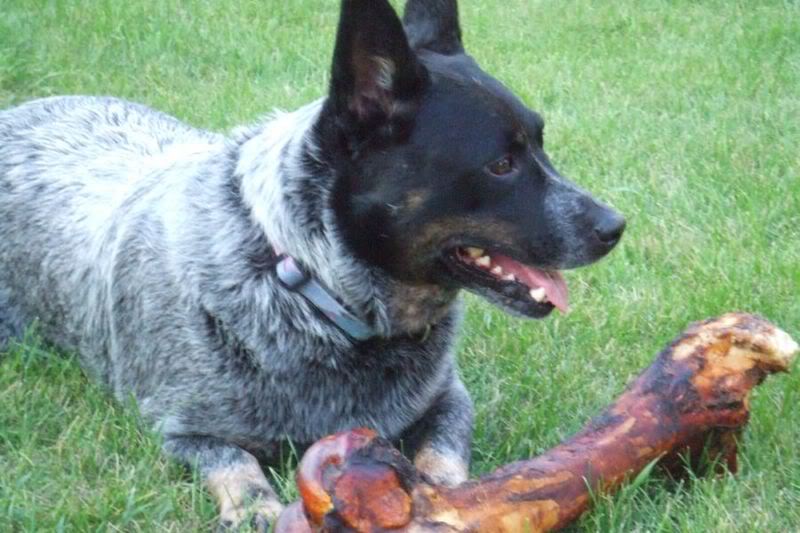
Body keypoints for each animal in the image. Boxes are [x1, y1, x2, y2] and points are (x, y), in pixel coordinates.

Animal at [0, 0, 624, 524]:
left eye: (540, 142)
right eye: (501, 164)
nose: (614, 227)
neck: (309, 285)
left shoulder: (450, 398)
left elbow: (444, 455)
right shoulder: (181, 429)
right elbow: (236, 463)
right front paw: (255, 507)